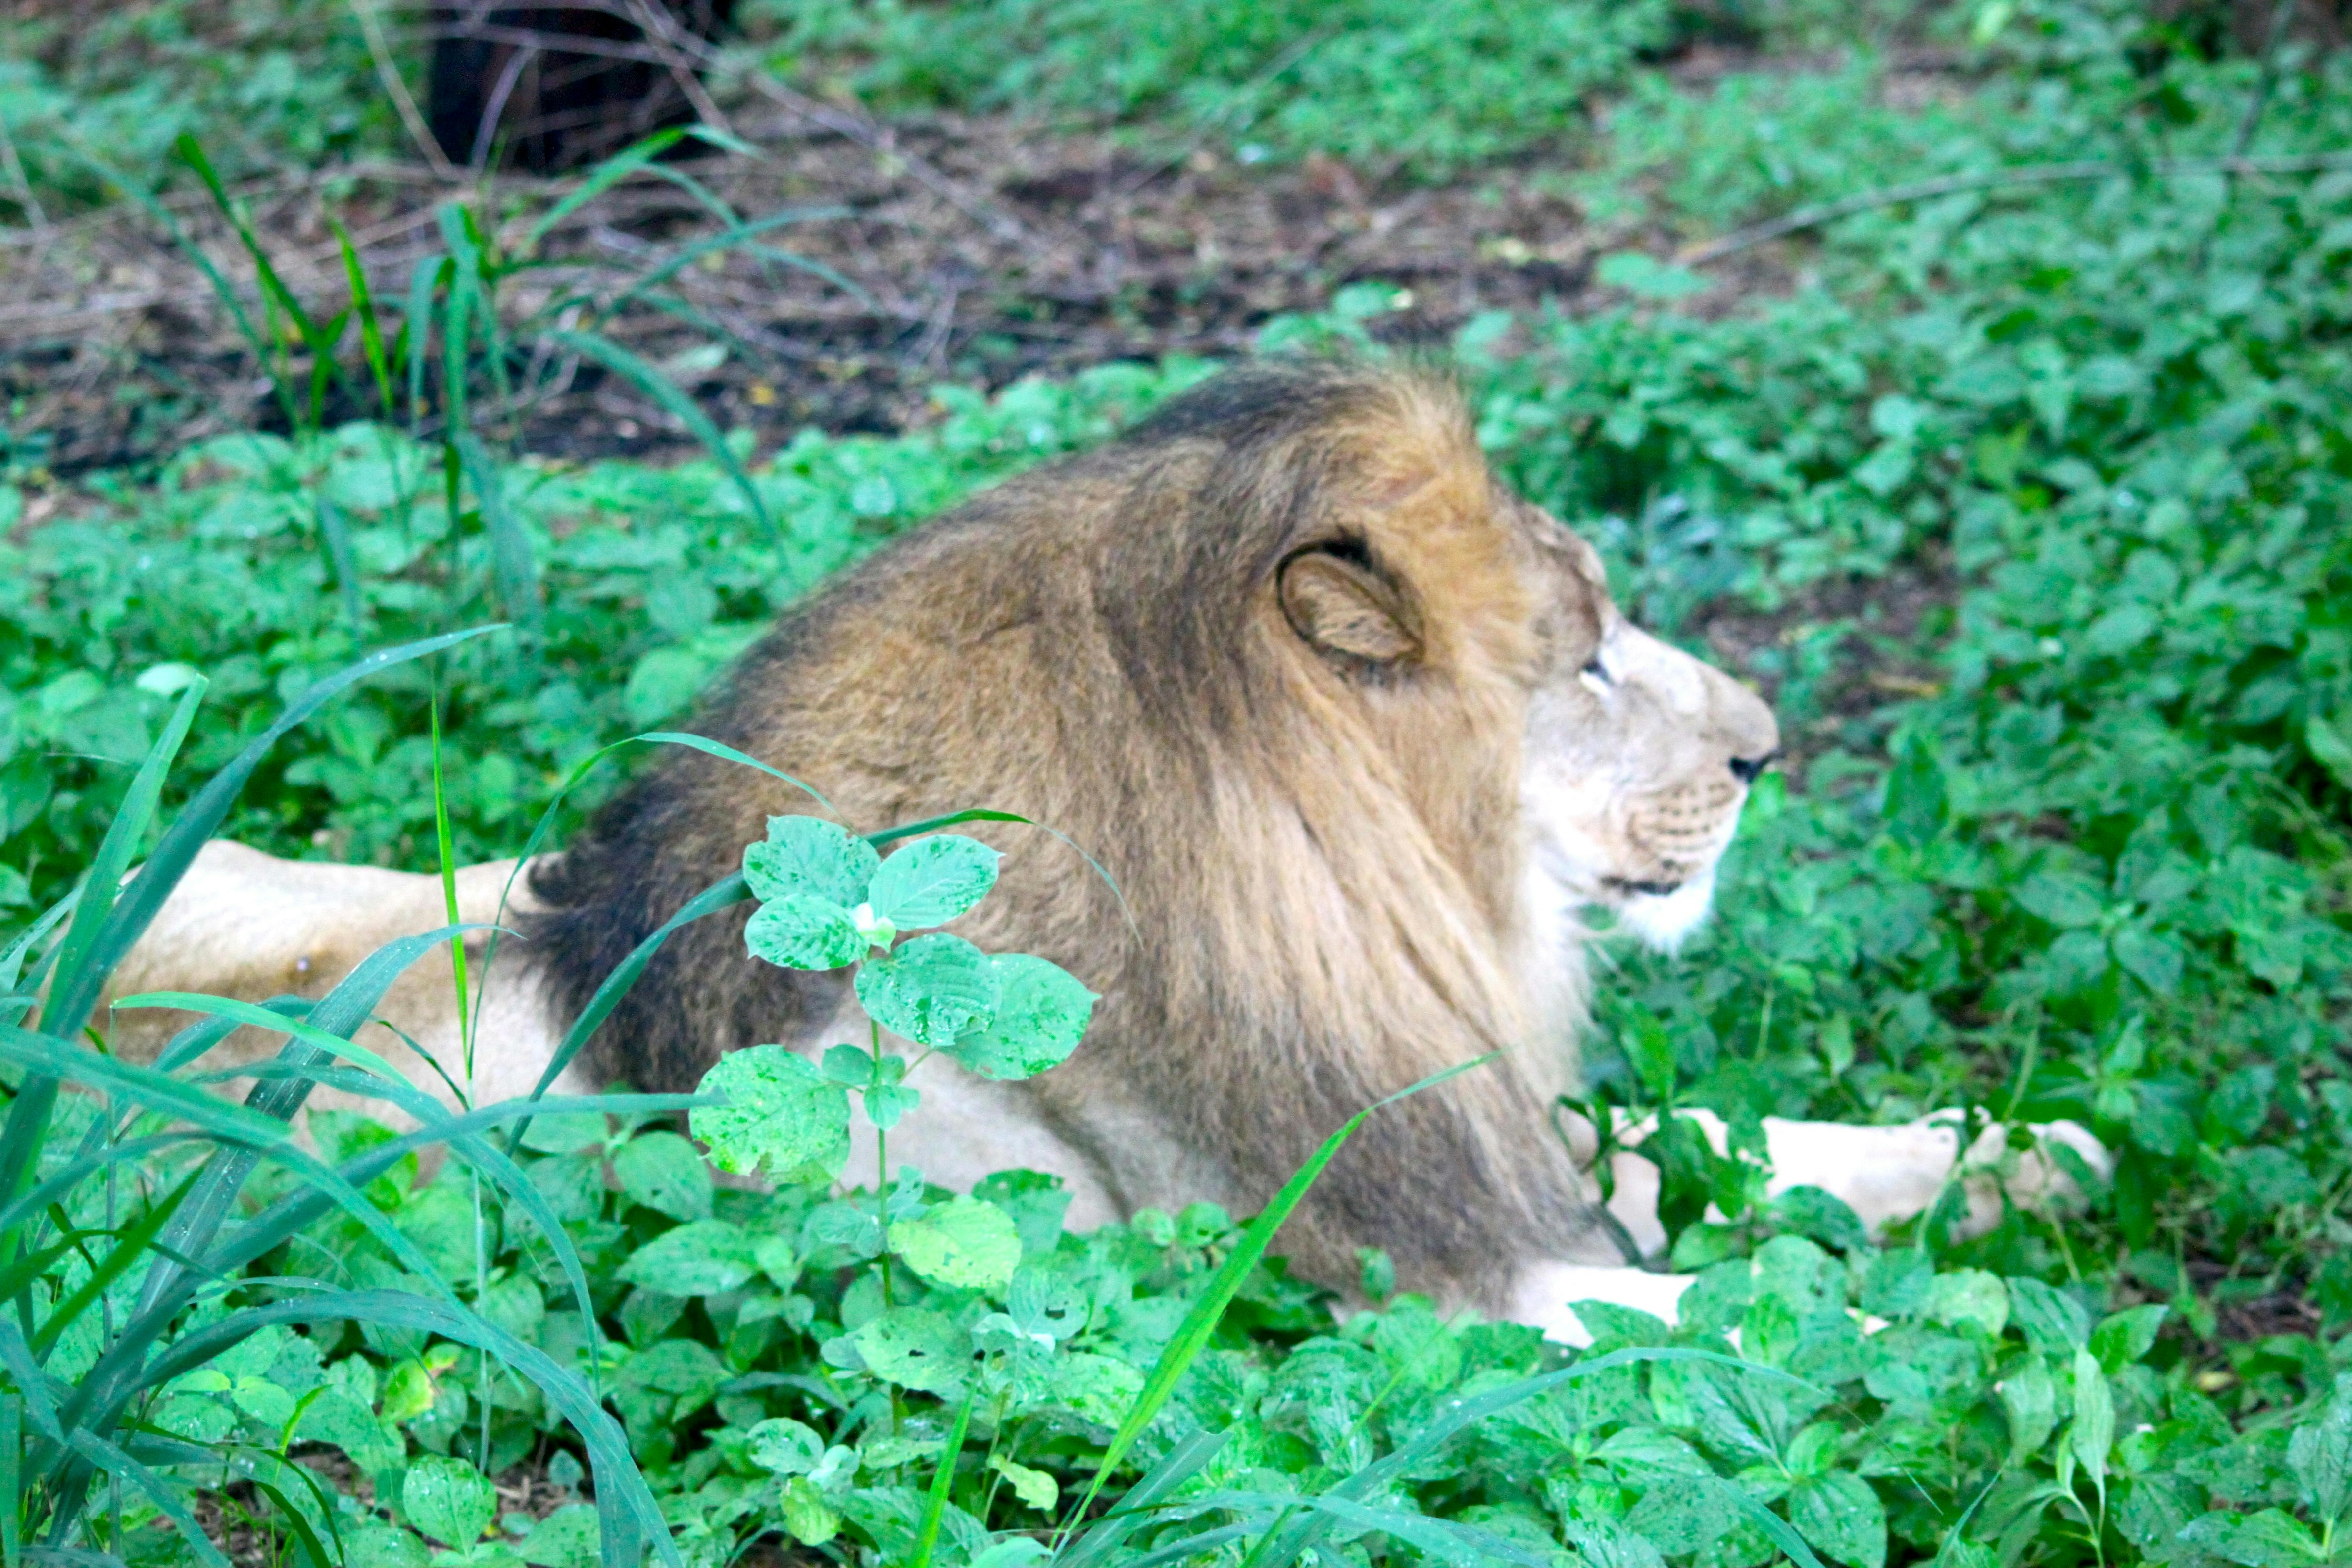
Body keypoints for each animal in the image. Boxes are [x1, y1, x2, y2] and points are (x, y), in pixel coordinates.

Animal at [102, 361, 2096, 1341]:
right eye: (1590, 653)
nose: (1769, 747)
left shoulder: (1459, 1128)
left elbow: (1770, 1151)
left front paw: (2037, 1161)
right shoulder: (1372, 1267)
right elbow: (1764, 1322)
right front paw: (2007, 1339)